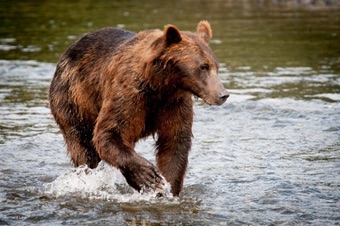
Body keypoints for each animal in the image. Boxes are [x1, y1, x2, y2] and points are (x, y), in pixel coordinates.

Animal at [48, 21, 228, 197]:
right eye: (203, 67)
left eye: (217, 67)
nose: (223, 94)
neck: (160, 85)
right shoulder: (129, 95)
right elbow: (108, 133)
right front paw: (149, 177)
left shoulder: (174, 104)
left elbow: (175, 142)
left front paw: (168, 188)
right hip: (73, 100)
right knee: (83, 148)